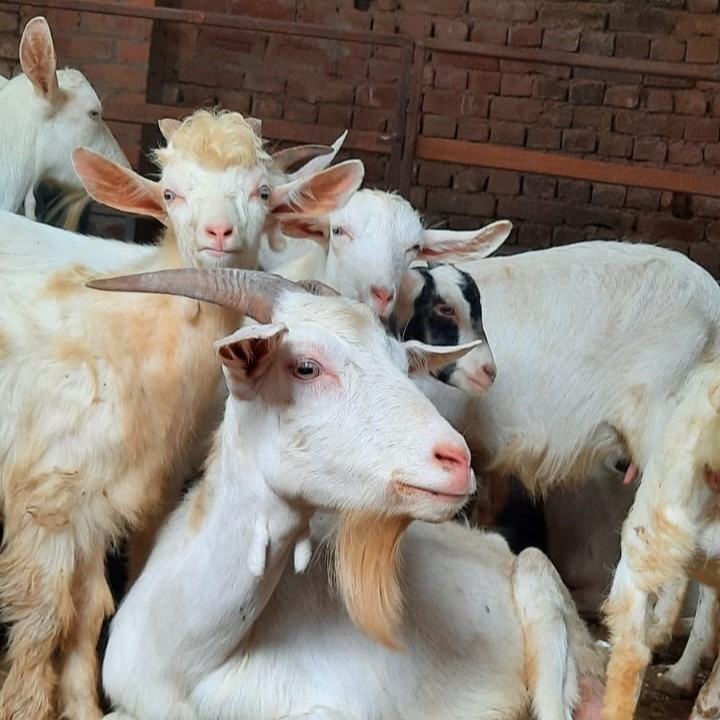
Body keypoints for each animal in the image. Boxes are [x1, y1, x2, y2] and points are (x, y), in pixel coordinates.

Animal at [0, 107, 362, 720]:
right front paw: (26, 706)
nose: (219, 234)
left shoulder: (107, 500)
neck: (132, 332)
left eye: (263, 192)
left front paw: (83, 705)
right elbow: (44, 624)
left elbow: (89, 613)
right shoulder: (46, 500)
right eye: (170, 193)